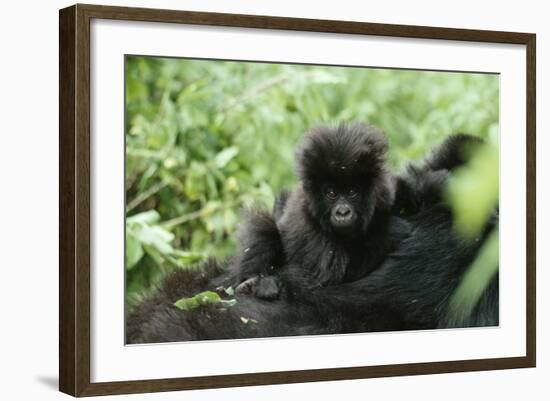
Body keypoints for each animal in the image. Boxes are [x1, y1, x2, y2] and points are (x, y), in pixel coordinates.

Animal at [226, 123, 404, 298]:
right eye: (331, 193)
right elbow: (325, 278)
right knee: (264, 225)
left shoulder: (384, 195)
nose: (343, 212)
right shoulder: (308, 228)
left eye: (353, 192)